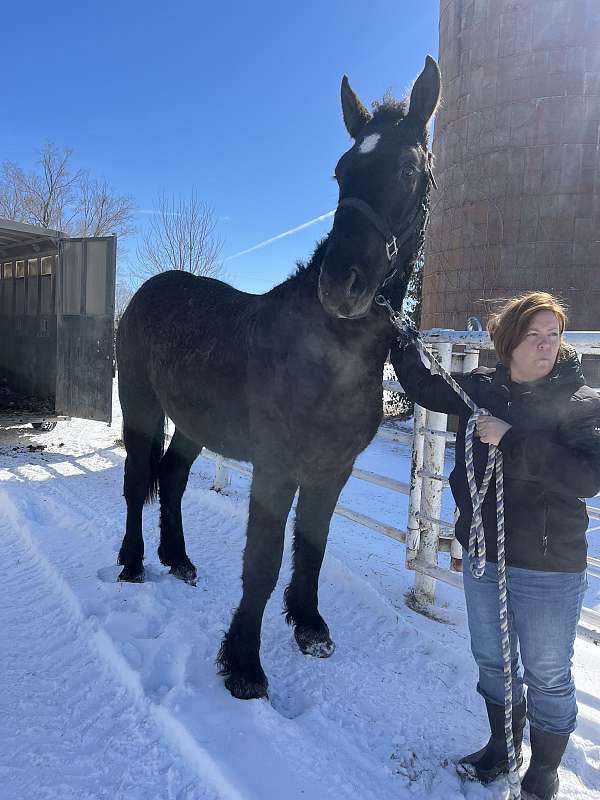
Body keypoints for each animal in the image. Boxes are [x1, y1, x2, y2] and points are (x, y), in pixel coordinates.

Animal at [116, 56, 440, 696]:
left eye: (409, 170)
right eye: (341, 171)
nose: (342, 285)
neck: (331, 354)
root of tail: (147, 292)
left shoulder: (333, 470)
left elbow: (311, 548)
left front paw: (310, 627)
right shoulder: (277, 468)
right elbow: (261, 563)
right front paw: (243, 665)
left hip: (192, 423)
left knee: (172, 477)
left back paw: (179, 559)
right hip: (141, 408)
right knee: (138, 480)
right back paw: (134, 562)